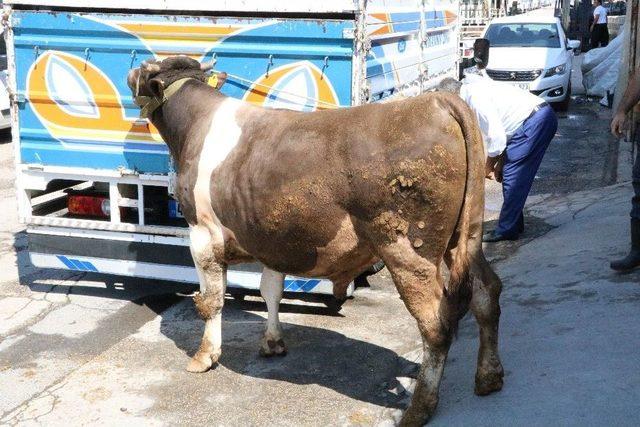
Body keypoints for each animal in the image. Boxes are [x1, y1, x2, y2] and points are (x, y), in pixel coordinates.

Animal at [126, 56, 504, 424]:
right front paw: (273, 343)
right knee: (487, 292)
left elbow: (212, 301)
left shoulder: (202, 232)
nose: (131, 71)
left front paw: (205, 356)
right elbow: (271, 291)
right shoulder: (270, 237)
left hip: (408, 251)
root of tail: (437, 101)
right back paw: (489, 377)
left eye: (146, 70)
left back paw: (419, 408)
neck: (197, 126)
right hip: (467, 237)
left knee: (435, 325)